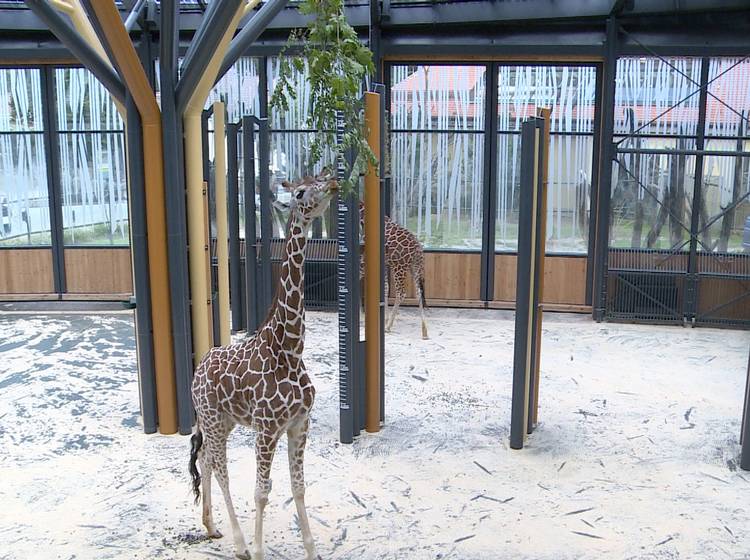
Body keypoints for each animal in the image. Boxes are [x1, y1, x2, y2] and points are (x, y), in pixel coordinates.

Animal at [189, 171, 336, 560]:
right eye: (300, 193)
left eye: (320, 178)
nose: (332, 183)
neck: (290, 349)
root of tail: (197, 370)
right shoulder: (267, 429)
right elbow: (261, 492)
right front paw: (257, 549)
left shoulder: (299, 424)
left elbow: (298, 487)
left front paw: (311, 549)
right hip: (212, 419)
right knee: (220, 468)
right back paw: (240, 543)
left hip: (221, 421)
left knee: (205, 460)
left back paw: (211, 526)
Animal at [362, 203, 432, 340]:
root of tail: (418, 249)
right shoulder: (384, 263)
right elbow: (385, 287)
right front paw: (383, 319)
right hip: (414, 268)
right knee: (419, 292)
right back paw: (424, 332)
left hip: (399, 267)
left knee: (401, 293)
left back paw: (388, 327)